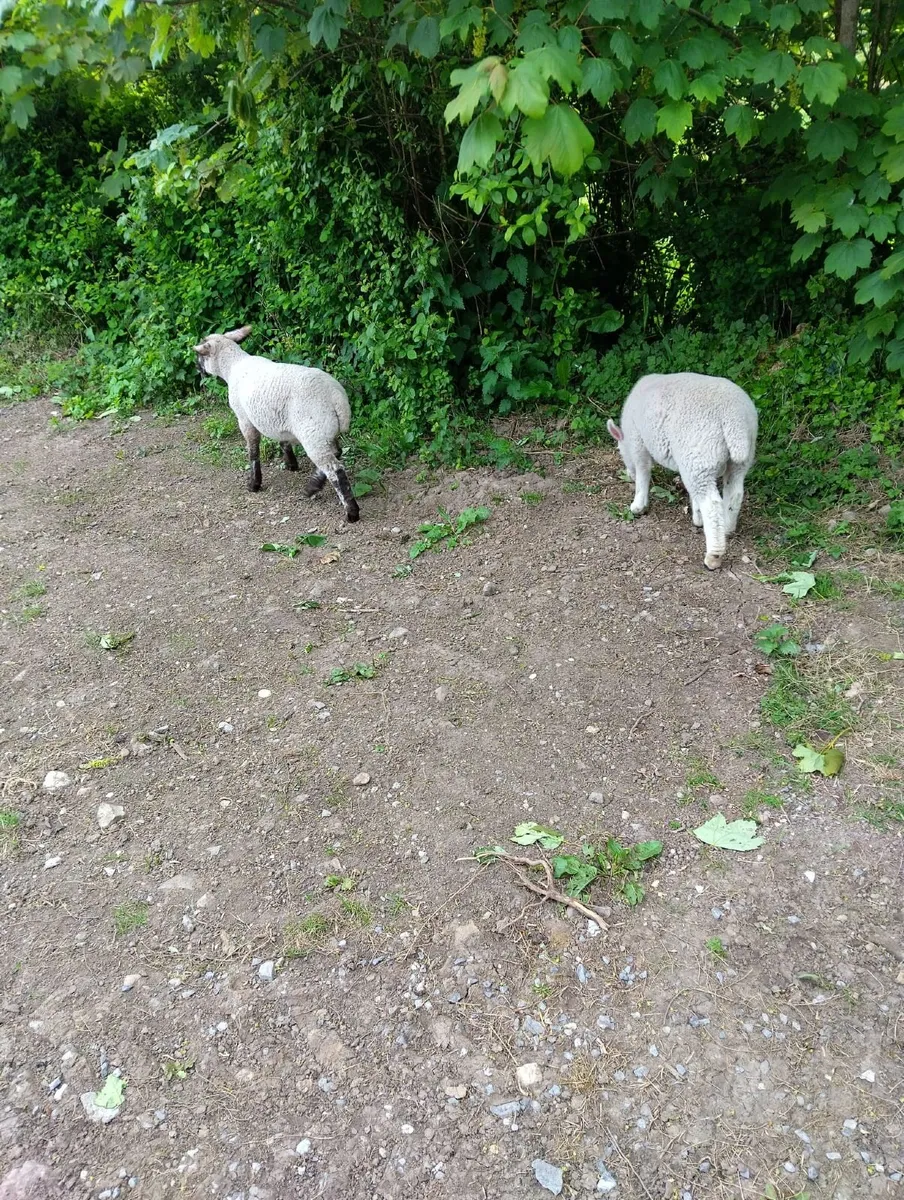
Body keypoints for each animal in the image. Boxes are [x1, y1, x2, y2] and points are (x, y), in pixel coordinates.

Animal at [193, 325, 359, 523]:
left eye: (200, 355)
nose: (197, 368)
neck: (233, 366)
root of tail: (337, 398)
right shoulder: (277, 420)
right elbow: (283, 441)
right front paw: (291, 464)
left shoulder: (244, 419)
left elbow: (253, 451)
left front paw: (254, 484)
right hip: (325, 432)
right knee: (335, 454)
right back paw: (312, 487)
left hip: (313, 433)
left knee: (335, 469)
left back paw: (351, 512)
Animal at [607, 372, 758, 571]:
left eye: (620, 451)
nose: (628, 475)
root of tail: (733, 417)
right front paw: (697, 517)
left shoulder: (638, 441)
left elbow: (643, 471)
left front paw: (638, 505)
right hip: (738, 456)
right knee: (734, 493)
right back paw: (727, 528)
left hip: (699, 454)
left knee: (711, 504)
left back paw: (713, 556)